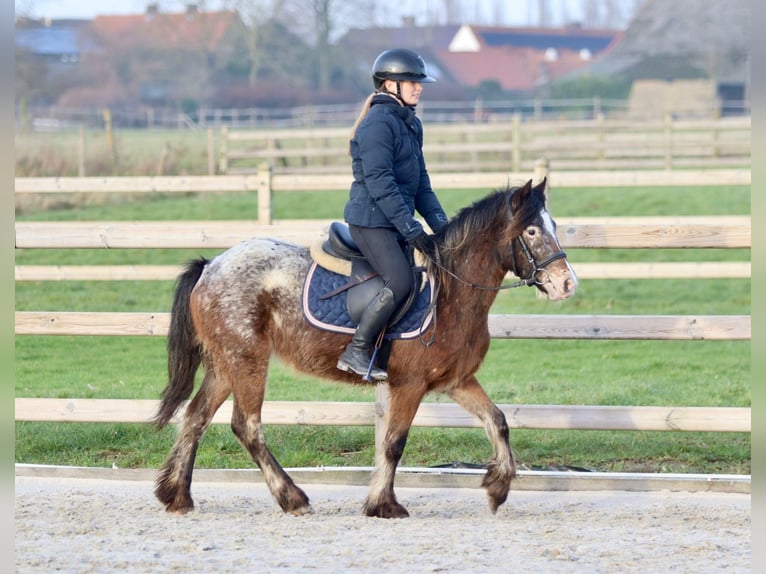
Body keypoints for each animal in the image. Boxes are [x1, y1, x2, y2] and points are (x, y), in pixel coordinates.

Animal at [153, 178, 580, 520]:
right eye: (531, 231)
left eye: (554, 226)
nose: (567, 284)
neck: (451, 292)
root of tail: (212, 266)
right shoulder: (409, 385)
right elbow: (393, 443)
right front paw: (383, 504)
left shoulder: (456, 381)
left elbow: (498, 421)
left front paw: (498, 487)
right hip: (247, 361)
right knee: (247, 426)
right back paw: (292, 498)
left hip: (225, 363)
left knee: (195, 418)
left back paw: (177, 496)